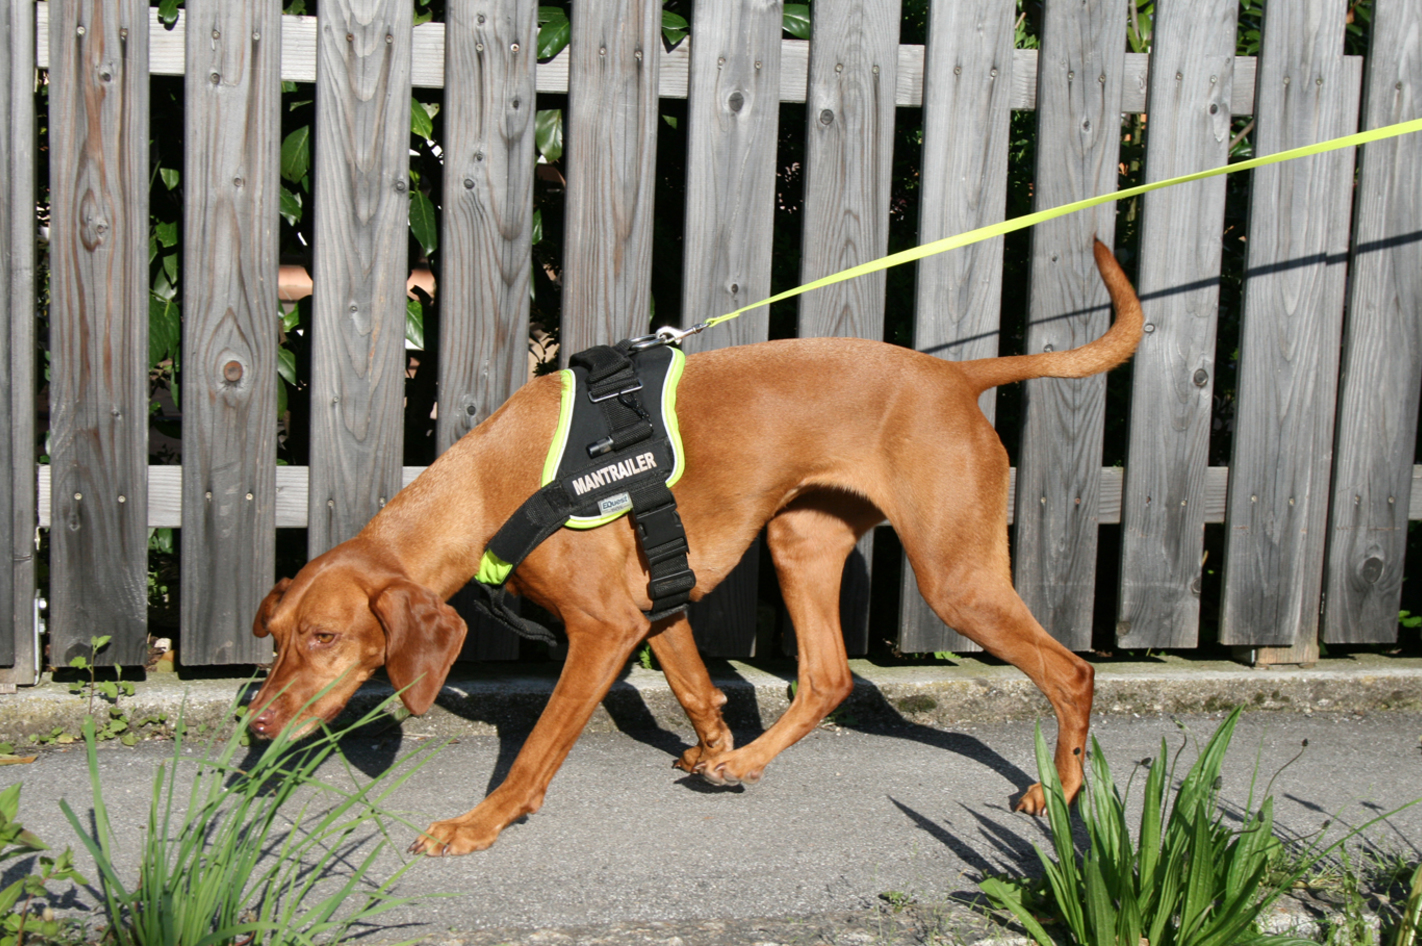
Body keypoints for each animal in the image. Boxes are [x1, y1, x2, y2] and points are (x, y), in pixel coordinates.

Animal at [247, 237, 1143, 853]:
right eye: (280, 637)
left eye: (324, 636)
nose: (256, 727)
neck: (492, 481)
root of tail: (957, 376)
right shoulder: (658, 603)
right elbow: (698, 691)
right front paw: (715, 747)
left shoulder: (605, 629)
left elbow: (536, 749)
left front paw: (480, 824)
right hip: (799, 540)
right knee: (827, 677)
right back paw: (744, 765)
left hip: (956, 578)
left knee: (1071, 672)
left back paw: (1060, 794)